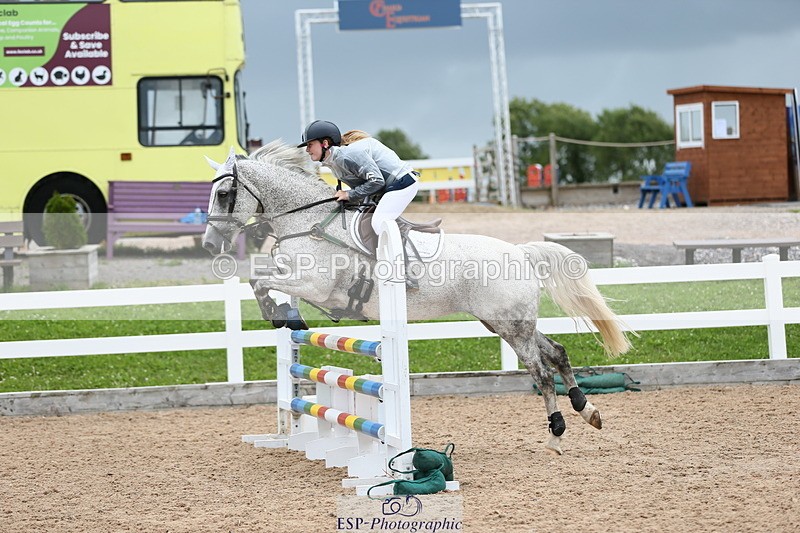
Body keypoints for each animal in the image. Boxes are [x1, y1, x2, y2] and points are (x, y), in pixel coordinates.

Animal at [201, 141, 632, 455]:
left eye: (224, 193)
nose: (209, 245)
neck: (305, 221)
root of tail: (521, 251)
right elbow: (260, 281)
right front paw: (286, 316)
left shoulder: (313, 284)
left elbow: (259, 281)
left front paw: (284, 316)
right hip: (506, 323)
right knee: (556, 352)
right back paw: (588, 411)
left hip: (511, 325)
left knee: (540, 372)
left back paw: (556, 434)